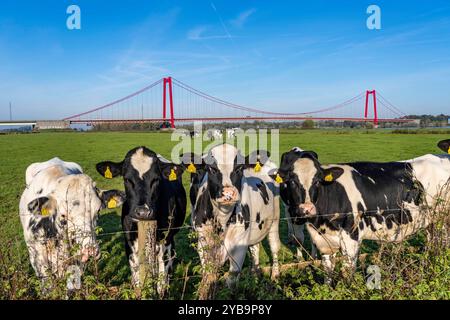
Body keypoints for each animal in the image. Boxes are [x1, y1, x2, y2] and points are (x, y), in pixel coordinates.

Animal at [95, 146, 186, 294]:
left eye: (156, 179)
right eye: (127, 179)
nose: (143, 212)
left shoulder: (165, 240)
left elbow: (162, 277)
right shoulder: (129, 241)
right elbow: (137, 277)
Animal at [180, 145, 280, 296]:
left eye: (239, 168)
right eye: (211, 169)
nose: (228, 194)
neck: (221, 220)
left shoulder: (239, 243)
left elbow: (232, 277)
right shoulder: (202, 243)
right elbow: (208, 274)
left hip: (275, 221)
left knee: (274, 248)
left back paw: (275, 277)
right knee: (255, 249)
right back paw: (255, 276)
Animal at [270, 140, 450, 278]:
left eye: (317, 181)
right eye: (292, 181)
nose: (307, 209)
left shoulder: (351, 238)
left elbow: (346, 274)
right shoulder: (324, 243)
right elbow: (328, 272)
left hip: (443, 221)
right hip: (431, 222)